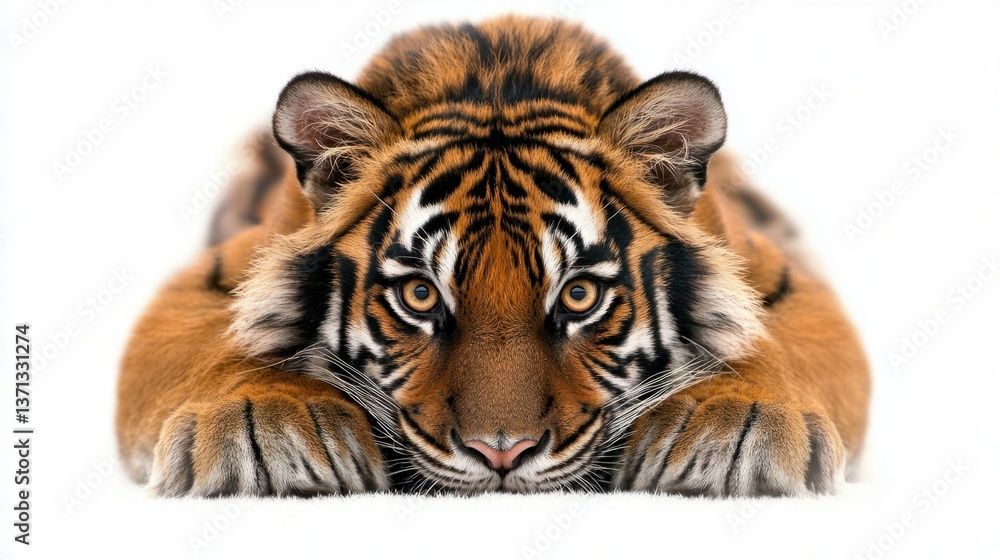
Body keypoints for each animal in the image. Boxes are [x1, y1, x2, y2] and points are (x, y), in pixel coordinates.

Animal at [116, 15, 869, 498]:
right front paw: (264, 425)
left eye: (579, 295)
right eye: (419, 295)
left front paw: (732, 426)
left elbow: (770, 344)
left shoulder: (786, 281)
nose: (499, 453)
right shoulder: (207, 281)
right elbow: (223, 346)